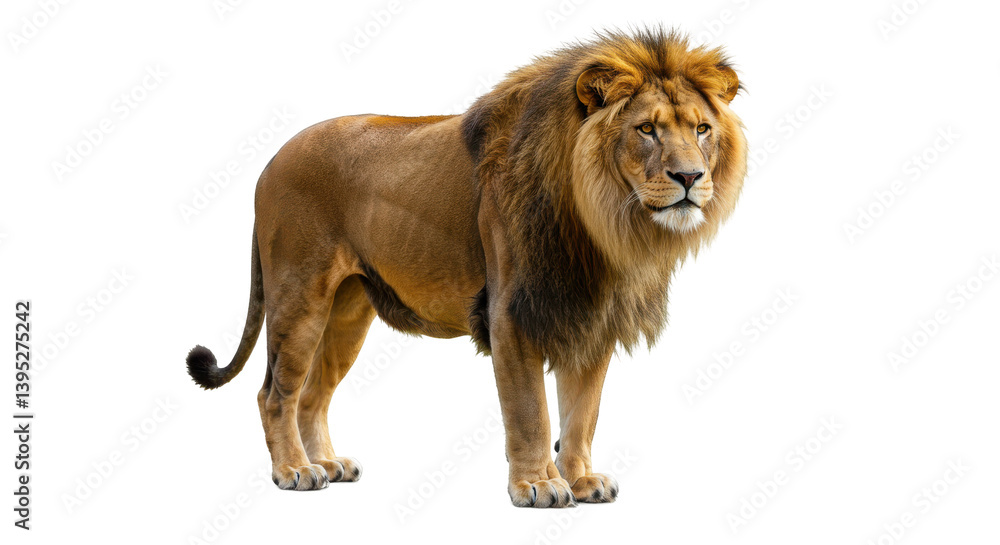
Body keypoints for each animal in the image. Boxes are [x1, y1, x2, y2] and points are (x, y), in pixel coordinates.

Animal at [186, 27, 747, 508]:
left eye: (702, 129)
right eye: (646, 129)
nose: (690, 177)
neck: (603, 223)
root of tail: (271, 159)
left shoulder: (590, 316)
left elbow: (582, 412)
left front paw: (581, 479)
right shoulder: (511, 315)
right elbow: (530, 412)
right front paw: (538, 484)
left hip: (346, 312)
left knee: (312, 393)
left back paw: (327, 463)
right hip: (298, 296)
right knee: (275, 393)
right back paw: (295, 472)